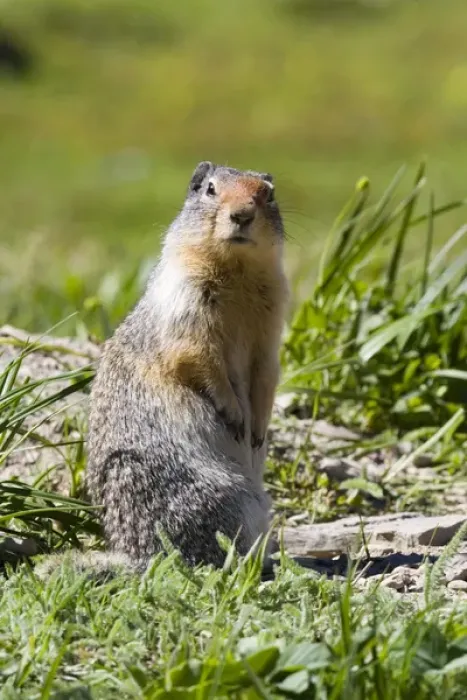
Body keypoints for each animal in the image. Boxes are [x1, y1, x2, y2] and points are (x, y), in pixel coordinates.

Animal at [39, 162, 289, 577]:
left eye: (268, 194)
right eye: (209, 188)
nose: (242, 215)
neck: (236, 271)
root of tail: (136, 555)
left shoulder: (271, 324)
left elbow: (268, 371)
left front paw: (258, 426)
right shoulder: (185, 303)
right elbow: (196, 355)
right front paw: (235, 413)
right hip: (222, 495)